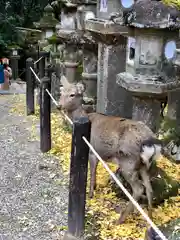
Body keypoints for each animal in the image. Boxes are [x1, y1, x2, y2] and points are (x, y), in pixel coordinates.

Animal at [58, 75, 162, 225]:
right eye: (61, 92)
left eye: (72, 94)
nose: (58, 105)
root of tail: (151, 142)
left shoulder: (92, 150)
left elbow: (92, 172)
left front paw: (90, 193)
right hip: (143, 165)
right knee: (149, 188)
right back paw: (150, 217)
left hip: (128, 161)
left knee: (138, 189)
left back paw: (120, 219)